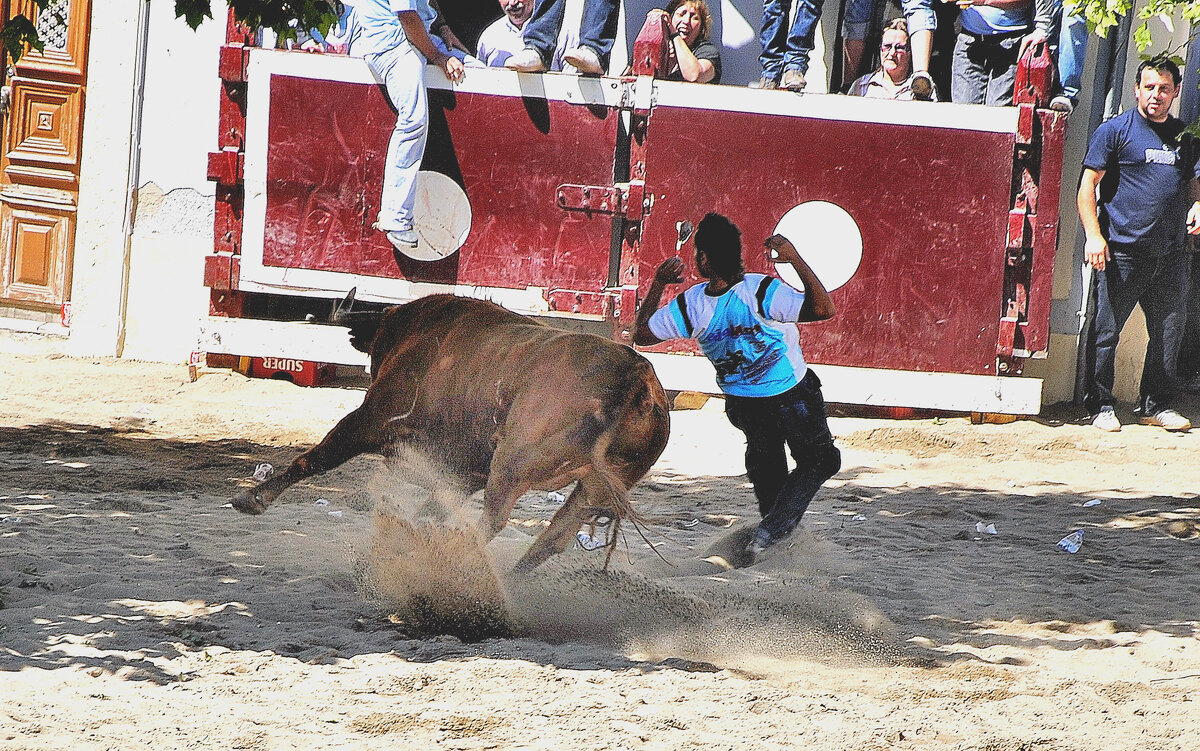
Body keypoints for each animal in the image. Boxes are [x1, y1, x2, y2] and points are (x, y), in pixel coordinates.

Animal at [229, 291, 672, 566]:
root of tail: (635, 377)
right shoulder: (465, 470)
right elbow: (433, 506)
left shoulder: (371, 416)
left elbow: (316, 458)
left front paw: (253, 497)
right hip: (592, 487)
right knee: (551, 538)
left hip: (512, 465)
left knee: (493, 520)